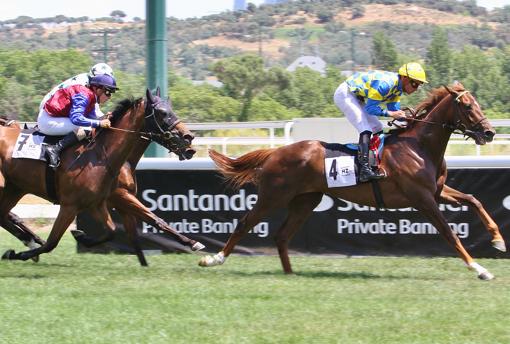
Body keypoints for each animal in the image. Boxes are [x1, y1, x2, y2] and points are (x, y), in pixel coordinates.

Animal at [0, 89, 195, 264]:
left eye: (172, 110)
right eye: (162, 113)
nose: (189, 138)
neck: (101, 155)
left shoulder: (97, 202)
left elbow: (127, 228)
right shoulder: (75, 204)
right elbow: (51, 242)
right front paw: (20, 254)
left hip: (14, 188)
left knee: (5, 215)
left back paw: (30, 240)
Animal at [198, 84, 498, 280]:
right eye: (468, 106)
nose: (489, 132)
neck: (419, 146)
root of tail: (276, 152)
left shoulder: (437, 192)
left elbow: (474, 200)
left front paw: (497, 240)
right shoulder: (423, 199)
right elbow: (449, 233)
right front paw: (480, 269)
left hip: (306, 201)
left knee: (282, 235)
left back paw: (290, 273)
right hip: (273, 196)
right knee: (244, 223)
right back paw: (214, 259)